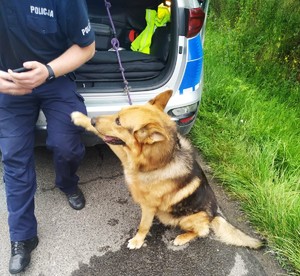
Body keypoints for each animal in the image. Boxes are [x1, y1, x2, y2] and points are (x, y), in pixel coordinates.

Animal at [71, 90, 262, 250]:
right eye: (117, 114)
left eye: (118, 122)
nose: (94, 120)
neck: (159, 161)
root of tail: (214, 215)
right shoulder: (125, 155)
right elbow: (102, 135)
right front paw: (80, 118)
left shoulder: (148, 206)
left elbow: (143, 226)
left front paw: (137, 241)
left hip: (186, 219)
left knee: (202, 231)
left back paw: (183, 238)